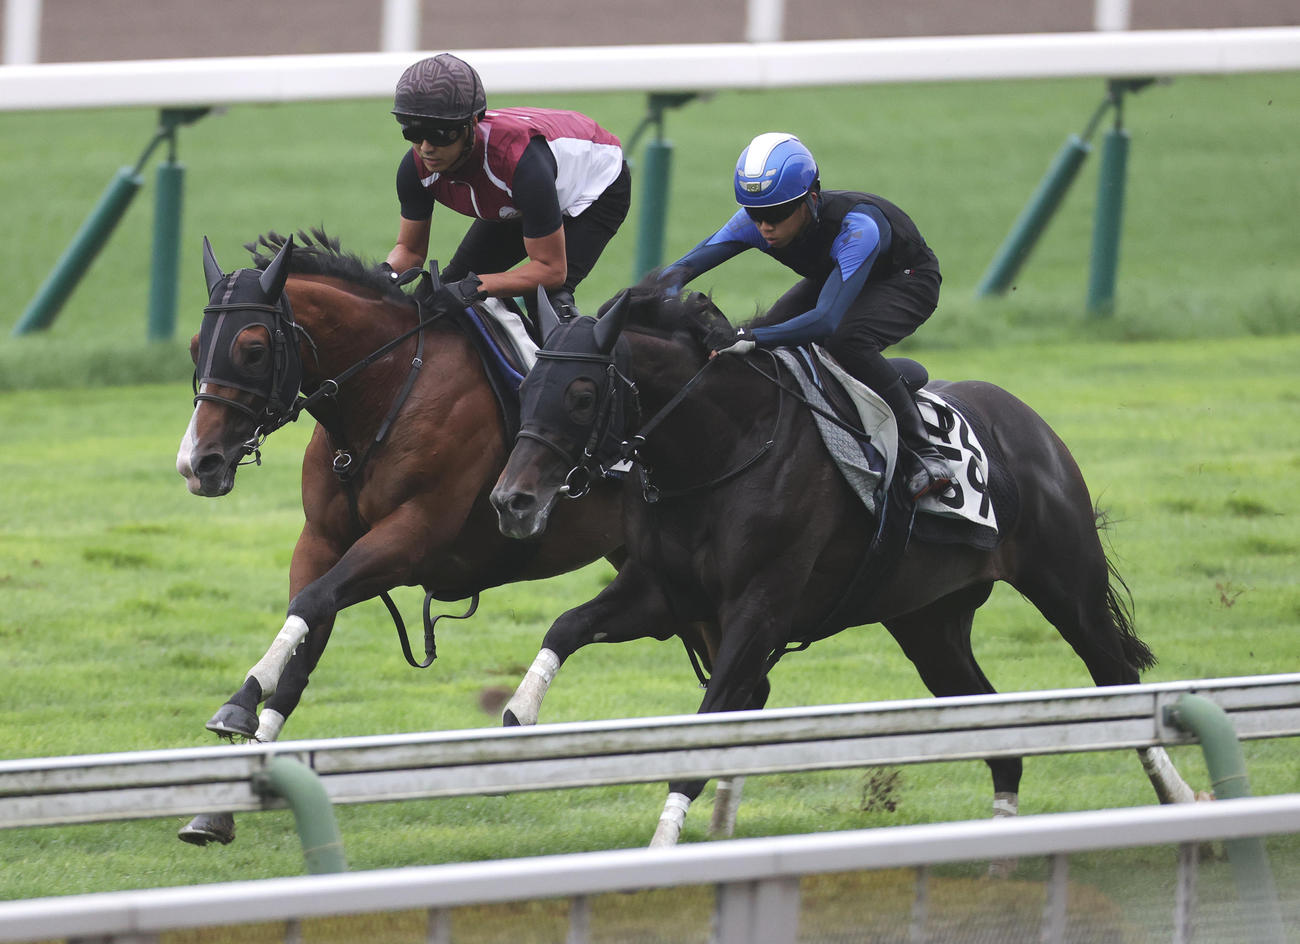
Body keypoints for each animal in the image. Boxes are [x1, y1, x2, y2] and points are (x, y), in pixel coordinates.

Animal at [174, 230, 628, 845]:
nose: (197, 464)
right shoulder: (321, 540)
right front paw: (226, 801)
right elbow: (303, 639)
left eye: (252, 349)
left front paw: (239, 701)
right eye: (196, 346)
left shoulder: (411, 538)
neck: (385, 390)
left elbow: (311, 603)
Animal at [490, 282, 1198, 849]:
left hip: (1066, 583)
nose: (511, 500)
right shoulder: (662, 591)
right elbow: (566, 627)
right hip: (928, 622)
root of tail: (1030, 421)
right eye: (527, 386)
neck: (724, 448)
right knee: (992, 725)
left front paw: (664, 843)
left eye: (582, 393)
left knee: (1116, 678)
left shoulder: (759, 611)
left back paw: (1182, 800)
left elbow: (710, 721)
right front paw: (517, 718)